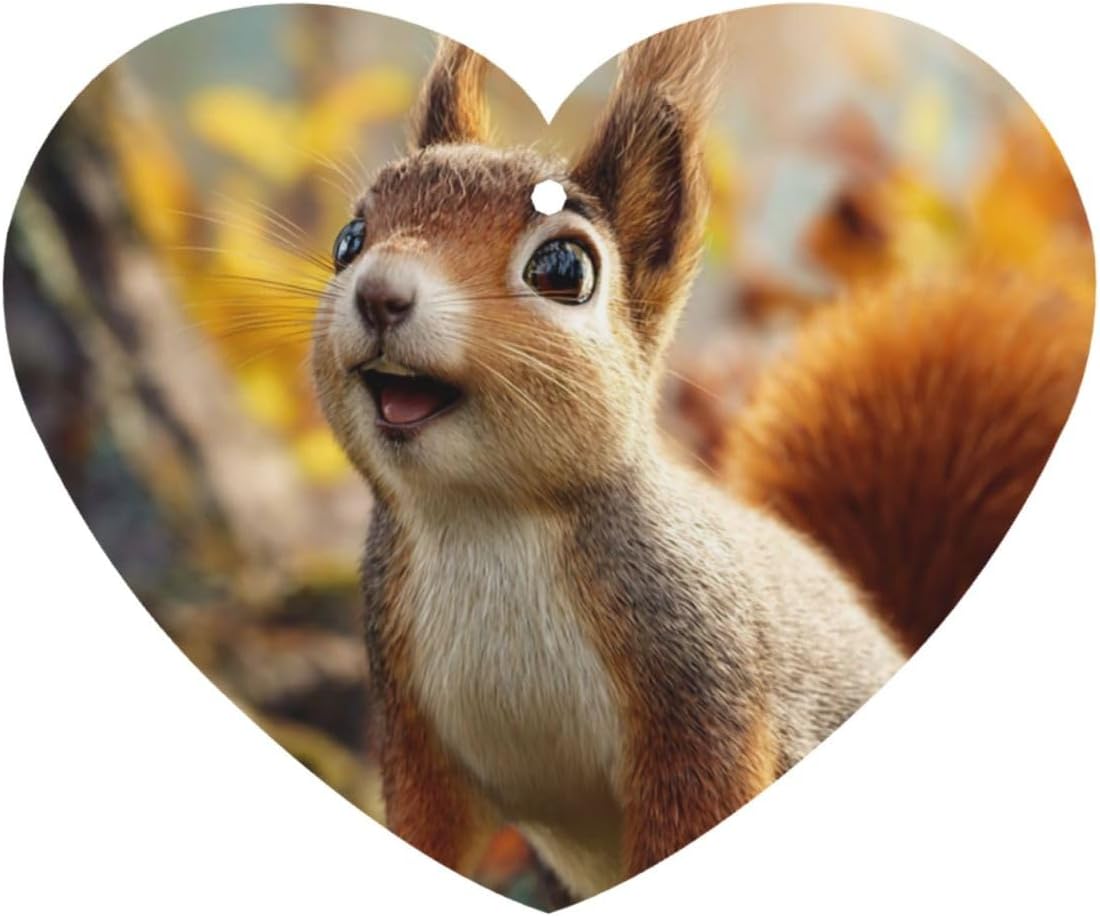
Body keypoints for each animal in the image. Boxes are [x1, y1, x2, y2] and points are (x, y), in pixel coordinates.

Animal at [309, 17, 1091, 901]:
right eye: (348, 240)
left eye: (563, 268)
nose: (380, 293)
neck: (486, 521)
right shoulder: (412, 720)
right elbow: (427, 829)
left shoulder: (702, 692)